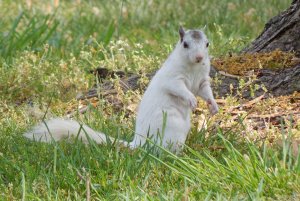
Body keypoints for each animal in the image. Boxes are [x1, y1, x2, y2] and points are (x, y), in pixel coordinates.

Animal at [24, 26, 218, 152]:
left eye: (207, 44)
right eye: (185, 44)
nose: (199, 57)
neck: (193, 67)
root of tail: (138, 143)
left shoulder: (201, 80)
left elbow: (205, 91)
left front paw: (213, 106)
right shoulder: (173, 77)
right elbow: (178, 89)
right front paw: (191, 99)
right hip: (171, 128)